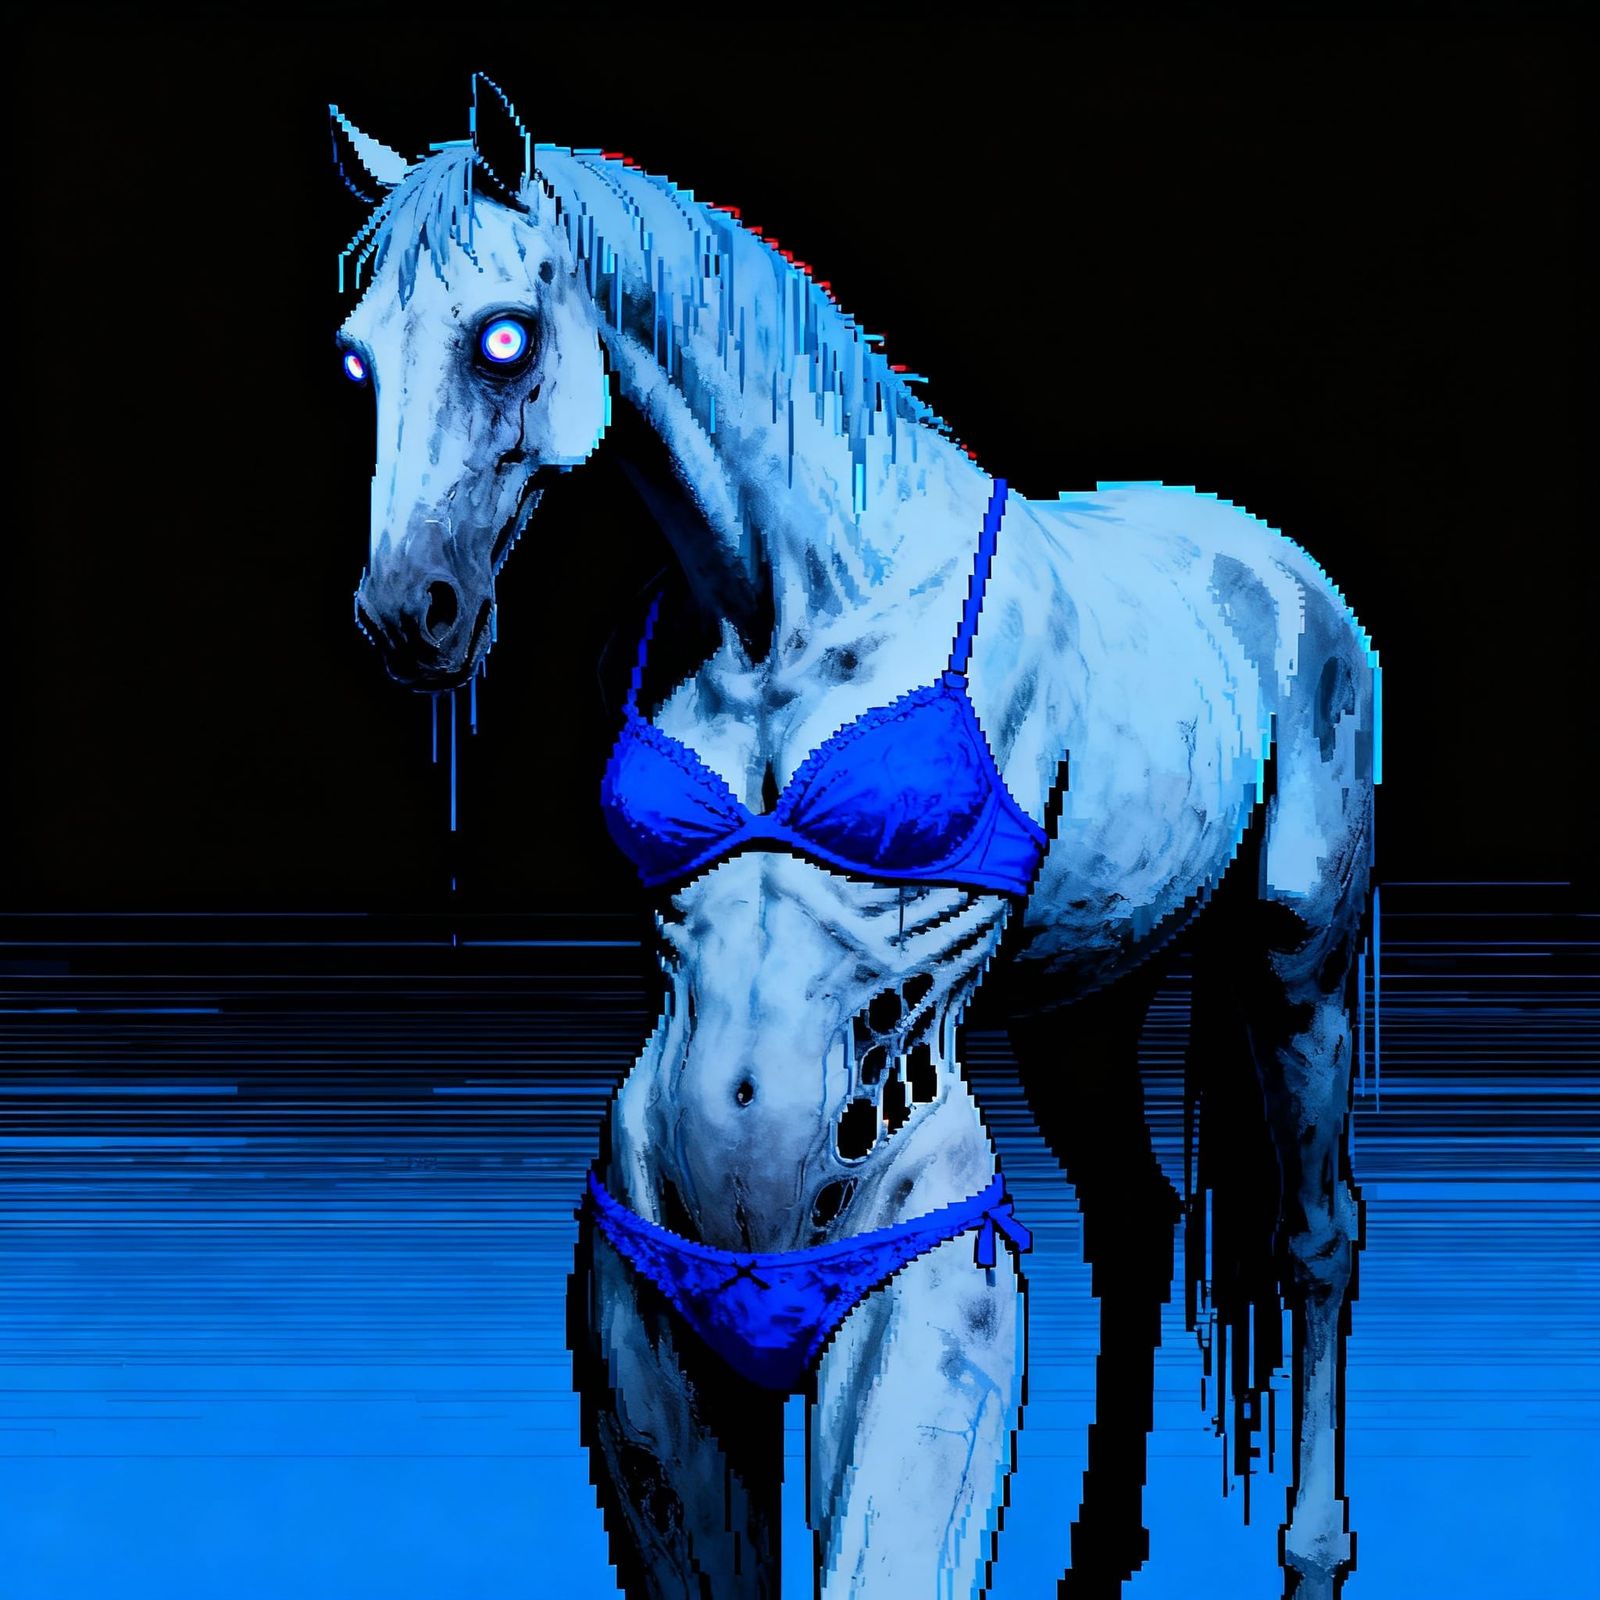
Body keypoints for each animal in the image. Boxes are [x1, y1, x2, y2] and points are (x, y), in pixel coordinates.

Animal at [328, 79, 1379, 1600]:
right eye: (356, 364)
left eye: (502, 338)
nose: (408, 612)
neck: (798, 593)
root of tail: (1270, 561)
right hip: (1083, 1005)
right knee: (1135, 1219)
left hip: (1296, 962)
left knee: (1315, 1234)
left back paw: (1313, 1553)